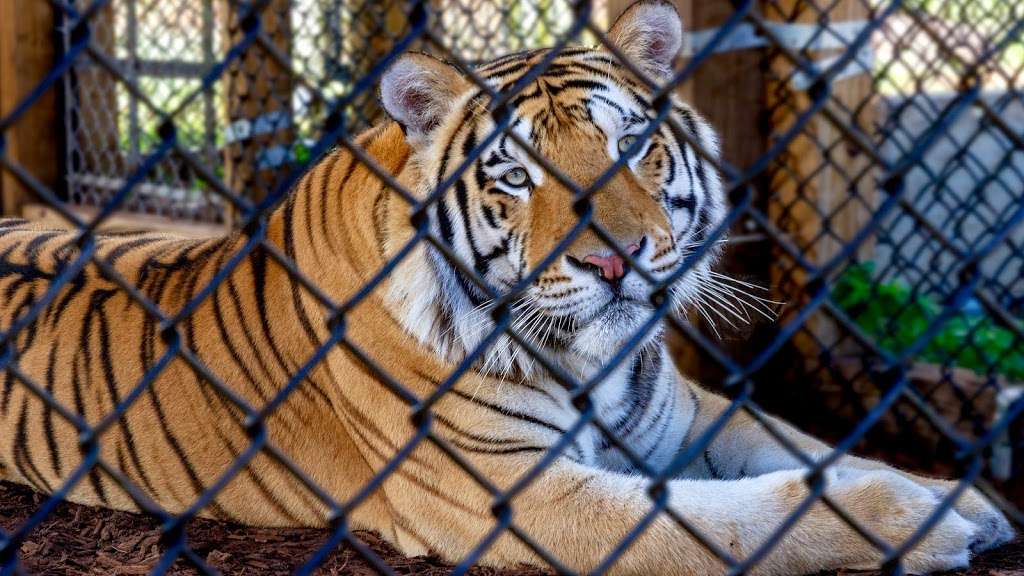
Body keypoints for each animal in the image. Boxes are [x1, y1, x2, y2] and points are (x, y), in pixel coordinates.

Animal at [0, 2, 1011, 569]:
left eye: (631, 145)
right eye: (515, 177)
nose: (617, 259)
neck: (596, 362)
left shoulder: (685, 417)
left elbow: (807, 449)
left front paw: (956, 498)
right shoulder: (520, 493)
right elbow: (741, 522)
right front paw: (923, 520)